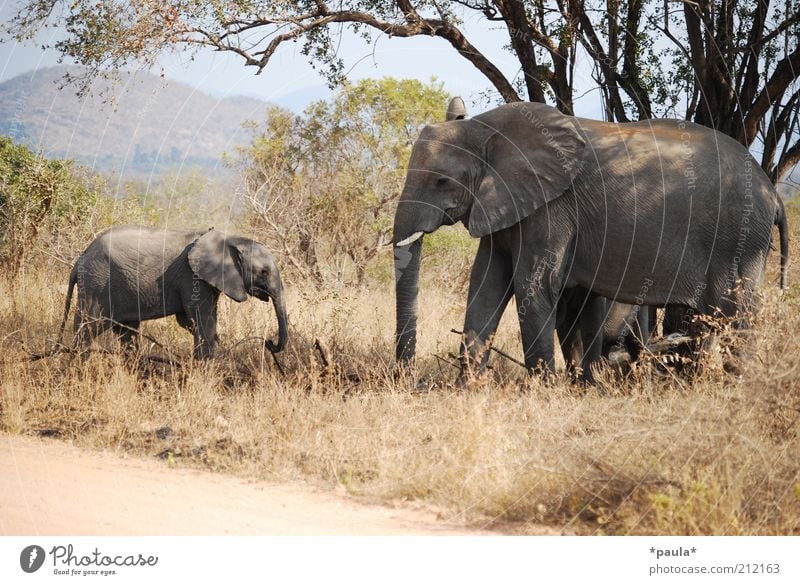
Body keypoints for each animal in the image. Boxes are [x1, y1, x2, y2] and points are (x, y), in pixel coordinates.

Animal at [61, 226, 290, 358]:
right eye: (264, 271)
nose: (270, 344)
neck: (231, 239)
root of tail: (80, 259)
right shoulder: (192, 277)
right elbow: (200, 319)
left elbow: (191, 321)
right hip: (97, 284)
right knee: (88, 326)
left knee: (127, 331)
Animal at [394, 102, 780, 380]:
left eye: (442, 181)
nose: (408, 380)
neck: (485, 129)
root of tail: (773, 194)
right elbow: (486, 284)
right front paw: (467, 391)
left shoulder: (552, 207)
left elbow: (533, 285)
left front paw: (542, 392)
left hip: (739, 239)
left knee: (737, 315)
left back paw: (738, 387)